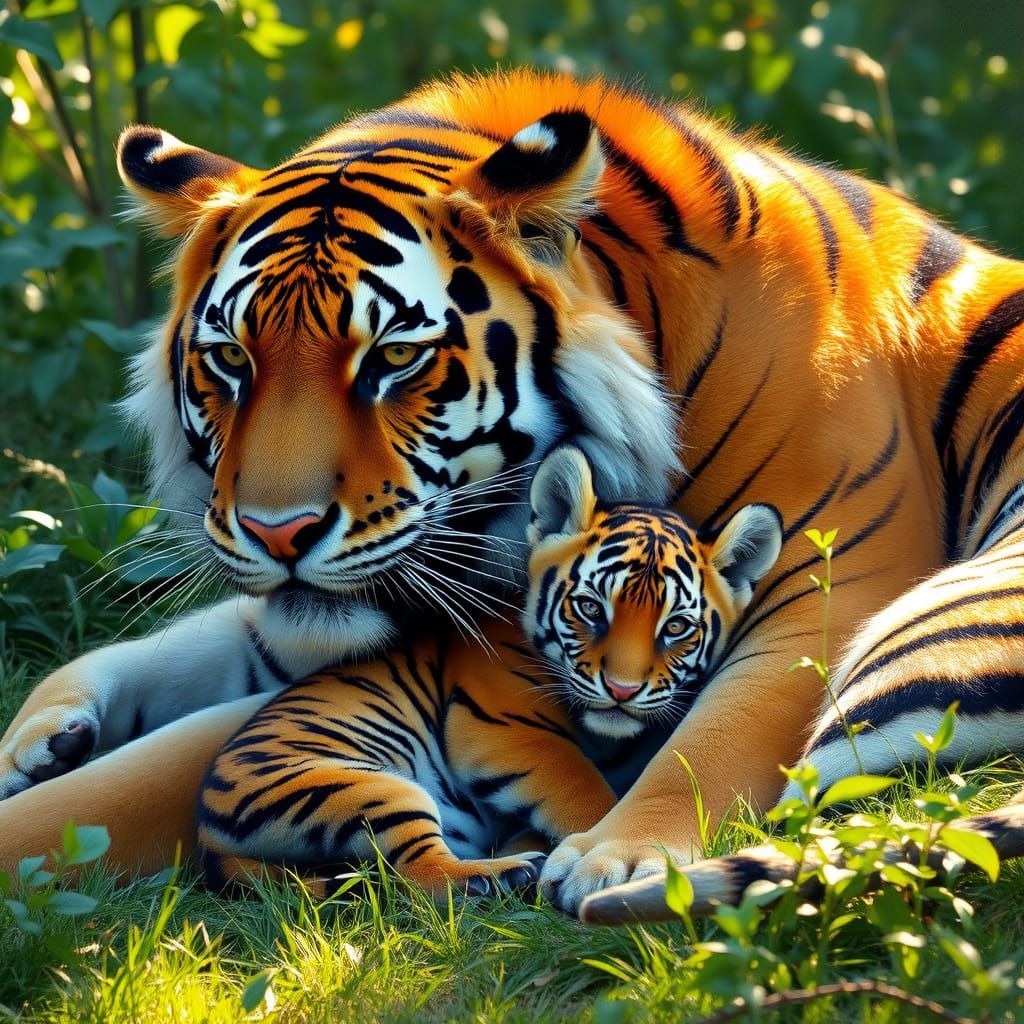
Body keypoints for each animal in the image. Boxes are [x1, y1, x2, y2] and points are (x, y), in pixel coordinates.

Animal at [195, 444, 781, 899]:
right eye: (591, 608)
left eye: (676, 627)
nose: (622, 690)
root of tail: (205, 835)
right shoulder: (500, 727)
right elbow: (583, 790)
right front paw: (584, 852)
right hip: (369, 788)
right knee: (419, 875)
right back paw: (502, 875)